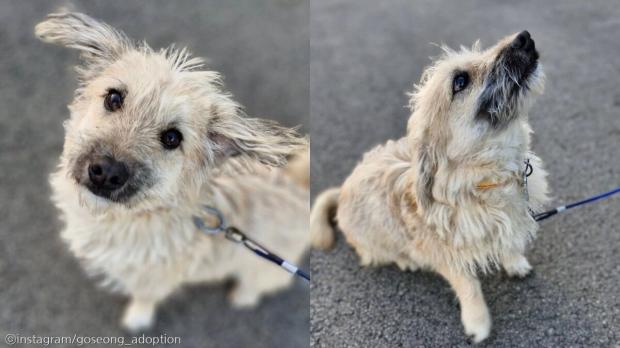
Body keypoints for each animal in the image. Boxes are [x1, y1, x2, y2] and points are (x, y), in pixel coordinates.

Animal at [34, 11, 310, 332]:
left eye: (172, 138)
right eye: (113, 98)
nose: (106, 172)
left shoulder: (154, 279)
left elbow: (145, 298)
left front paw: (137, 318)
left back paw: (243, 295)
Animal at [312, 31, 548, 344]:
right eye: (460, 81)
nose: (524, 37)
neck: (486, 178)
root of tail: (341, 192)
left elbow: (509, 242)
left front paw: (514, 261)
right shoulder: (447, 255)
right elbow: (469, 287)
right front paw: (478, 323)